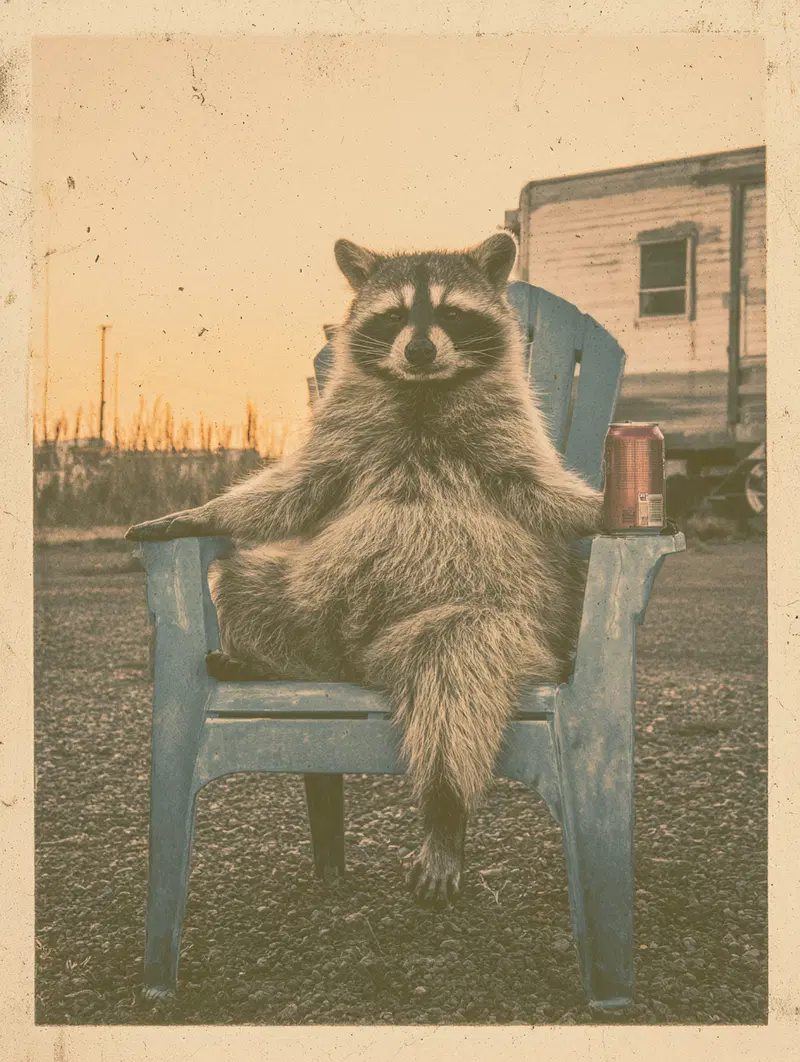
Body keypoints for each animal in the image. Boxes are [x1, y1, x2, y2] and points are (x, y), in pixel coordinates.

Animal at [126, 233, 603, 910]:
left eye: (450, 313)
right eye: (395, 315)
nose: (421, 348)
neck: (422, 389)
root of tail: (355, 663)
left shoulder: (509, 436)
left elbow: (544, 494)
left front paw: (607, 510)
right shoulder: (338, 435)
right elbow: (289, 494)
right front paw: (200, 513)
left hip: (489, 624)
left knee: (456, 661)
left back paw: (445, 812)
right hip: (307, 602)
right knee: (248, 583)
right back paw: (264, 662)